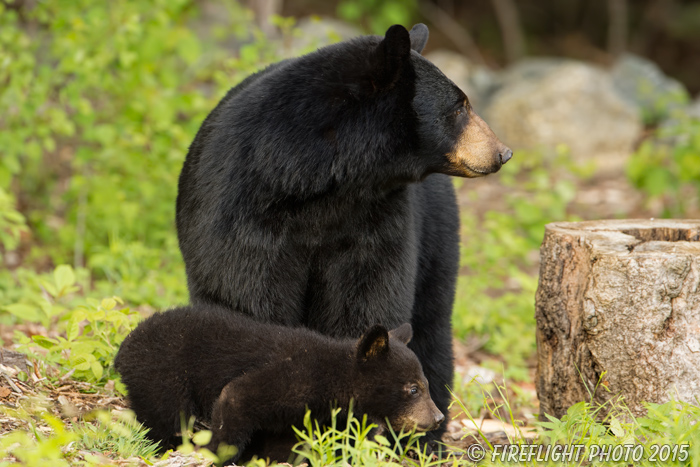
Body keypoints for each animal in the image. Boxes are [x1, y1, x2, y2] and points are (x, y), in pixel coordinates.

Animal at [114, 308, 442, 464]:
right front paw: (216, 453)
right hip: (163, 375)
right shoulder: (295, 376)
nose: (438, 417)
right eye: (413, 389)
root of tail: (125, 347)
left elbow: (288, 442)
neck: (335, 380)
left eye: (426, 385)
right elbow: (237, 395)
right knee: (169, 417)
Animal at [178, 22, 512, 440]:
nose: (502, 152)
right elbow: (245, 296)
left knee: (432, 325)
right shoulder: (243, 210)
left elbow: (366, 299)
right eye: (459, 107)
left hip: (437, 235)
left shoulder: (378, 219)